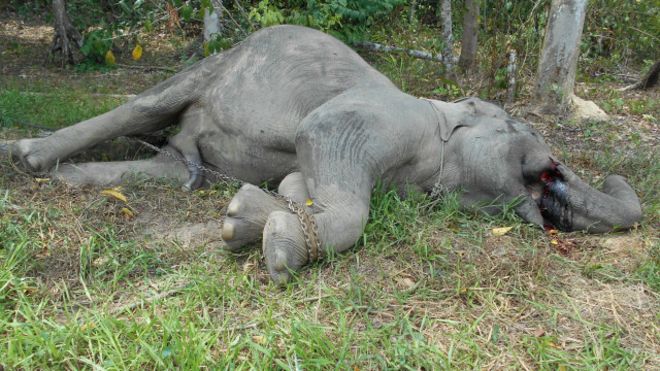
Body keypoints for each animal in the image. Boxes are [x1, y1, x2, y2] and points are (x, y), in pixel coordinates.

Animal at [5, 24, 640, 284]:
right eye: (518, 127)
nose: (558, 167)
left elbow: (301, 182)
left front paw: (261, 210)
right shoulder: (380, 117)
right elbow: (323, 138)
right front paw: (272, 242)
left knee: (167, 165)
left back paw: (72, 178)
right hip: (213, 66)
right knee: (143, 108)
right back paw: (28, 157)